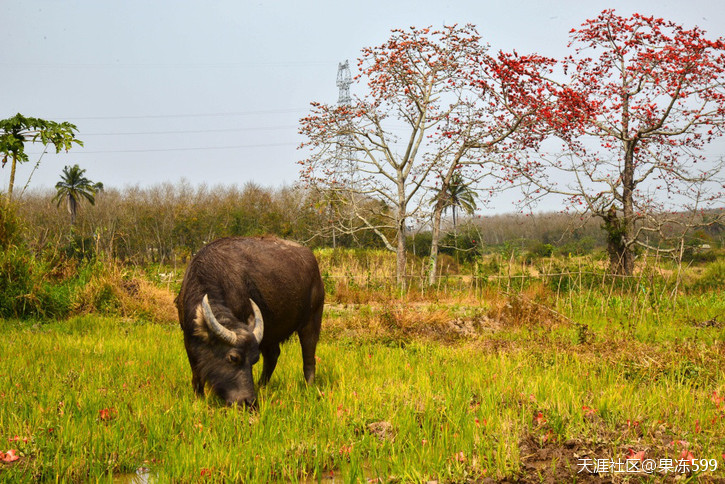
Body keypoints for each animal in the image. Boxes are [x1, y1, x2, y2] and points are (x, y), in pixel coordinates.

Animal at [175, 236, 322, 406]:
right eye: (233, 357)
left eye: (254, 360)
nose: (248, 401)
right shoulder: (188, 338)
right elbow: (196, 372)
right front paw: (199, 398)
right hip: (270, 333)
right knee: (272, 355)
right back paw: (261, 386)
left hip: (312, 320)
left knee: (308, 356)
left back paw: (309, 386)